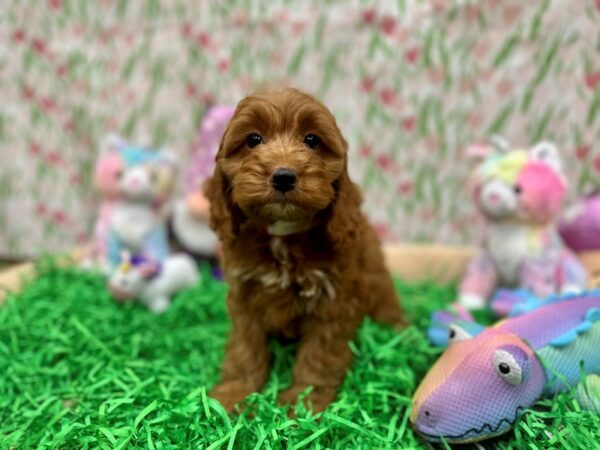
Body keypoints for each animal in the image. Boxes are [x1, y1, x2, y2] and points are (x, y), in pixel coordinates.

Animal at [205, 89, 404, 414]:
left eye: (312, 140)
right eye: (253, 139)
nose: (284, 176)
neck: (283, 235)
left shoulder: (334, 300)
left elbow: (318, 355)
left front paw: (304, 403)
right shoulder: (245, 294)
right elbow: (245, 347)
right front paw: (235, 394)